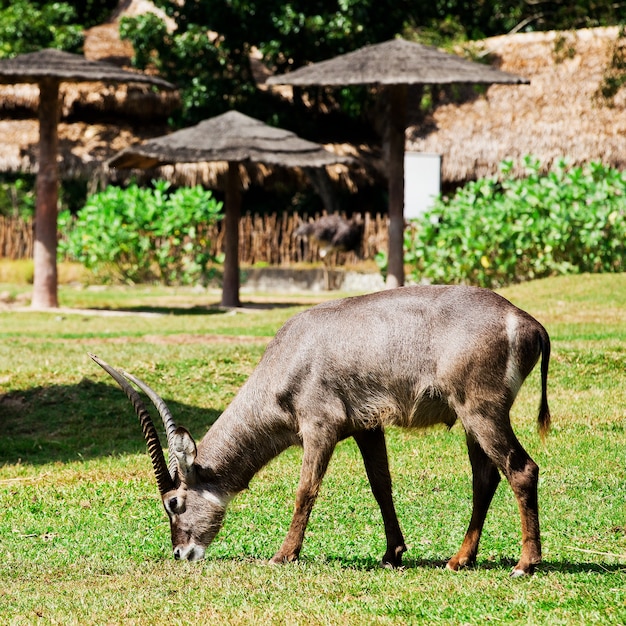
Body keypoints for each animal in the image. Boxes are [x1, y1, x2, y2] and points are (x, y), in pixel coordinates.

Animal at [90, 282, 548, 576]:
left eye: (174, 503)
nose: (182, 553)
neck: (292, 351)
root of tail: (527, 322)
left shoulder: (319, 427)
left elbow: (305, 490)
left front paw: (283, 555)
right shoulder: (367, 427)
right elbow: (381, 486)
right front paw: (393, 553)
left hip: (481, 411)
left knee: (521, 469)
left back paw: (525, 565)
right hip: (472, 419)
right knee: (485, 477)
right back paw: (460, 559)